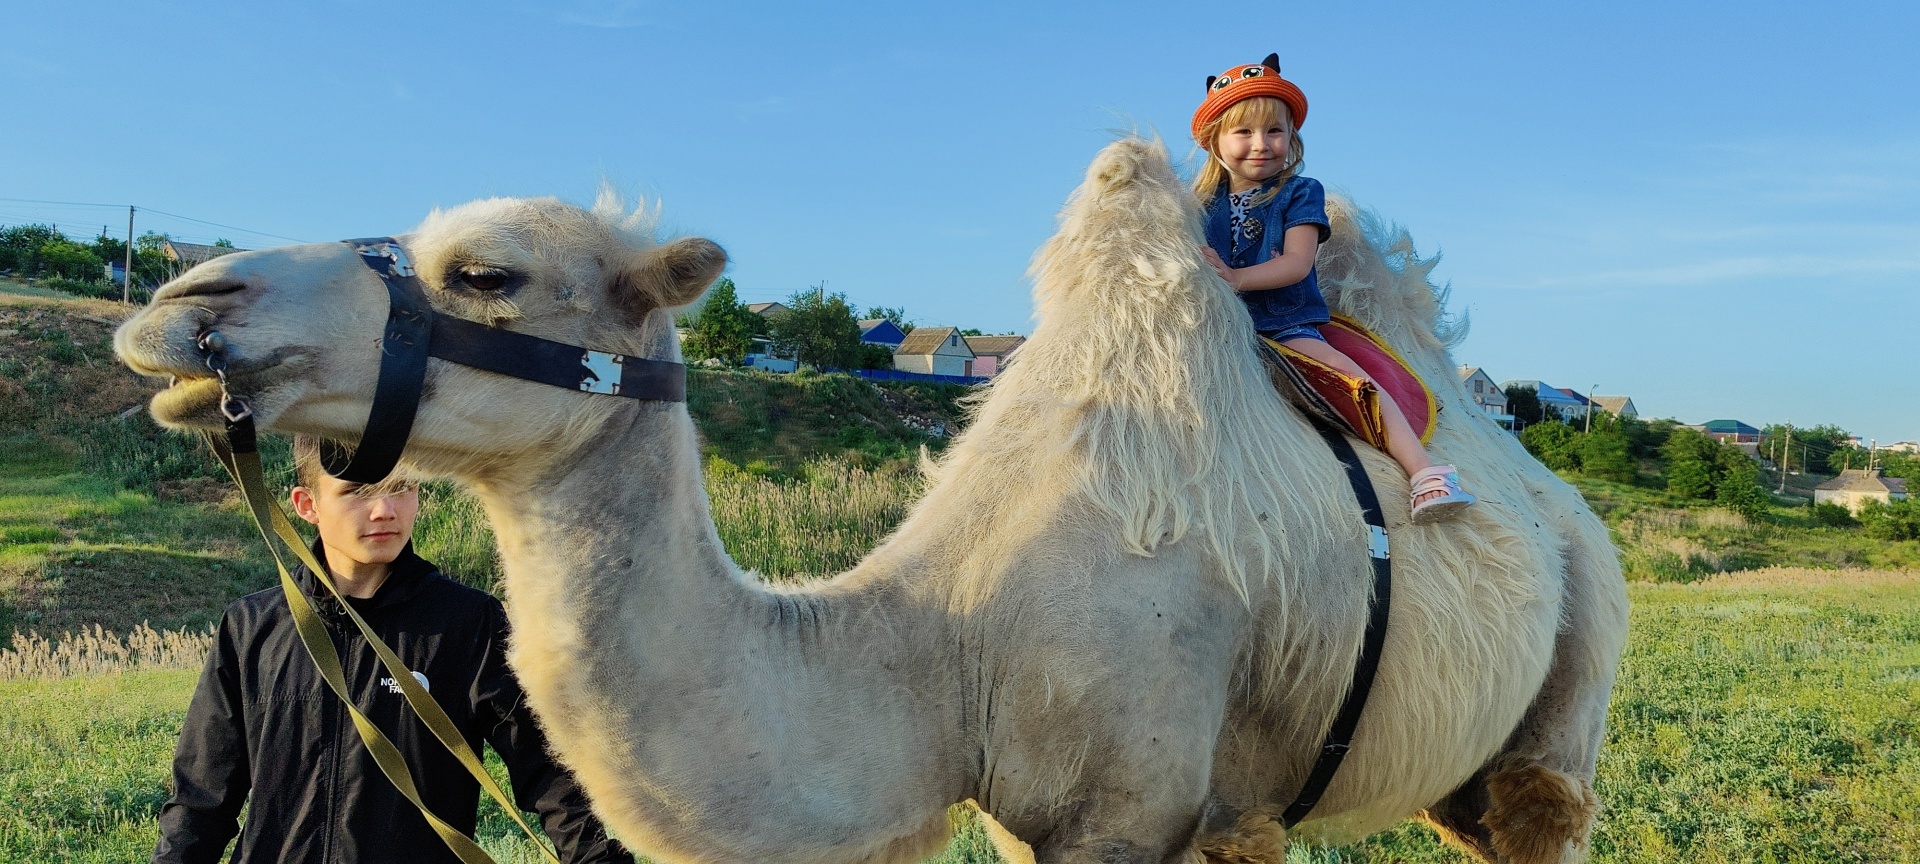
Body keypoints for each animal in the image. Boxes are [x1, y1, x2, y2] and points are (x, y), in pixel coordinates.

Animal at [116, 138, 1620, 860]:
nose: (186, 307)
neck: (942, 643)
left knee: (1545, 810)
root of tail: (1549, 493)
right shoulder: (1093, 819)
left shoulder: (1123, 817)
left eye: (484, 273)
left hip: (1571, 680)